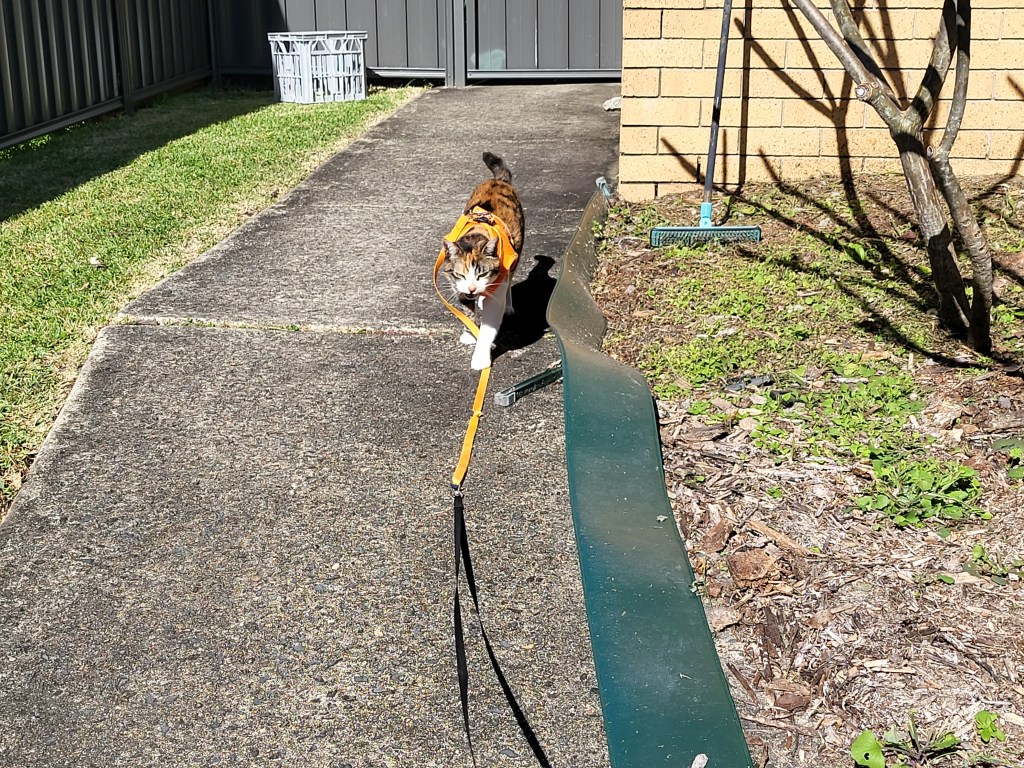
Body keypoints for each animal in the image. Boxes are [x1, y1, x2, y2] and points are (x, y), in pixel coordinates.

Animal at [440, 151, 525, 370]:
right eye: (459, 273)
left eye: (483, 273)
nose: (472, 289)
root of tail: (498, 181)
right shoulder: (458, 287)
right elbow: (466, 312)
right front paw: (469, 332)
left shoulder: (495, 289)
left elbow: (487, 329)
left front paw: (480, 358)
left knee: (509, 280)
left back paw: (507, 305)